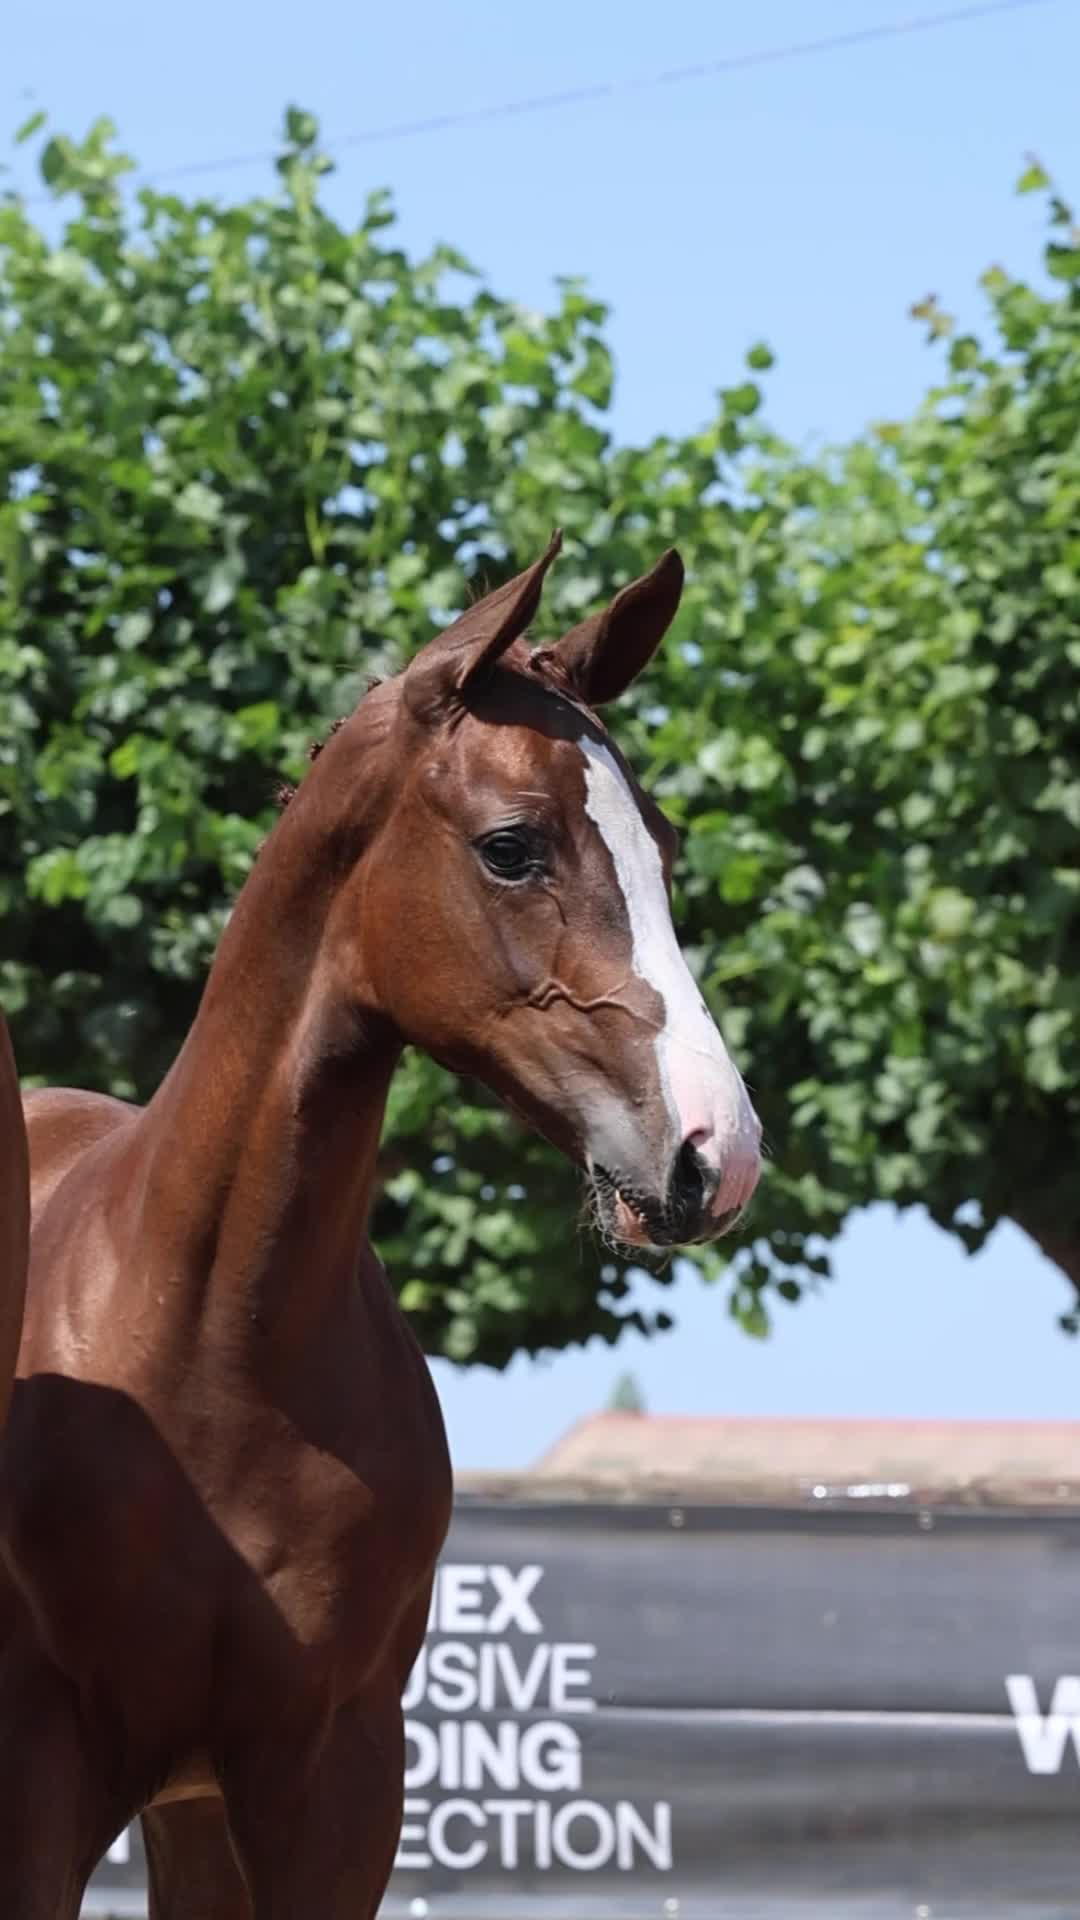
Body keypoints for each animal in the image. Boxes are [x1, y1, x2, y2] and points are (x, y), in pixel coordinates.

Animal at [1, 532, 762, 1919]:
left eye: (666, 848)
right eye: (512, 846)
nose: (714, 1153)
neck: (210, 1344)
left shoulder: (333, 1781)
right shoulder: (38, 1773)